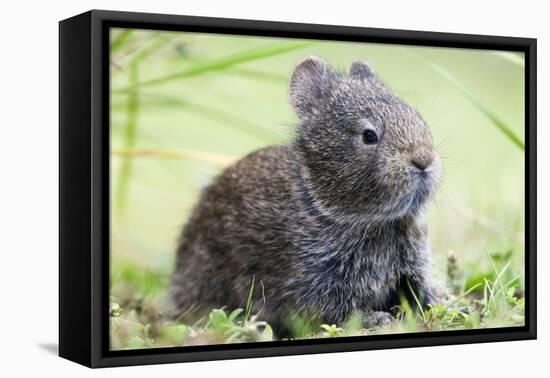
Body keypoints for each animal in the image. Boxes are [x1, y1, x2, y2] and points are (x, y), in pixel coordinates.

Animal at [170, 56, 446, 336]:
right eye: (369, 135)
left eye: (417, 117)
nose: (423, 159)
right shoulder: (315, 279)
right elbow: (335, 311)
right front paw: (377, 320)